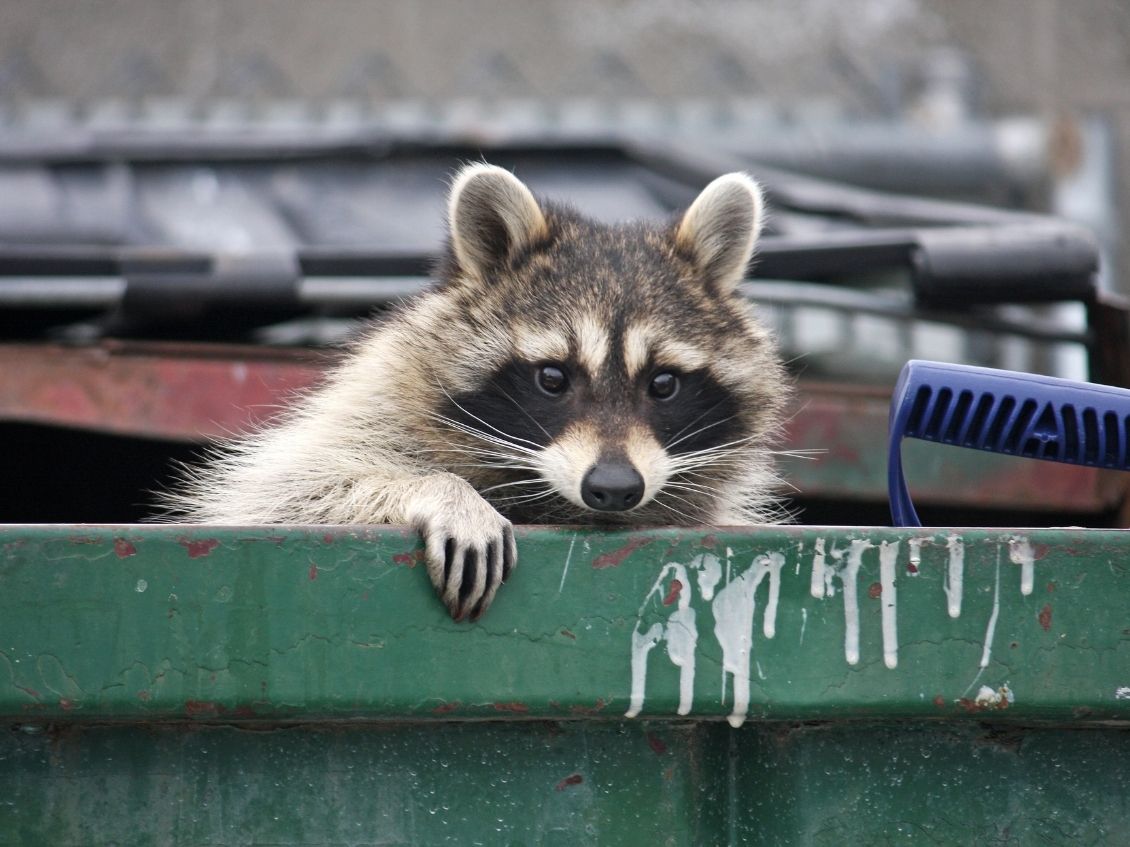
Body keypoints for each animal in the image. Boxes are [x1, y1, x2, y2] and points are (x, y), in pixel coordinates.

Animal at [167, 160, 791, 623]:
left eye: (663, 383)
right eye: (552, 378)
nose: (614, 488)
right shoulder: (370, 403)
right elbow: (285, 490)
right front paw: (439, 490)